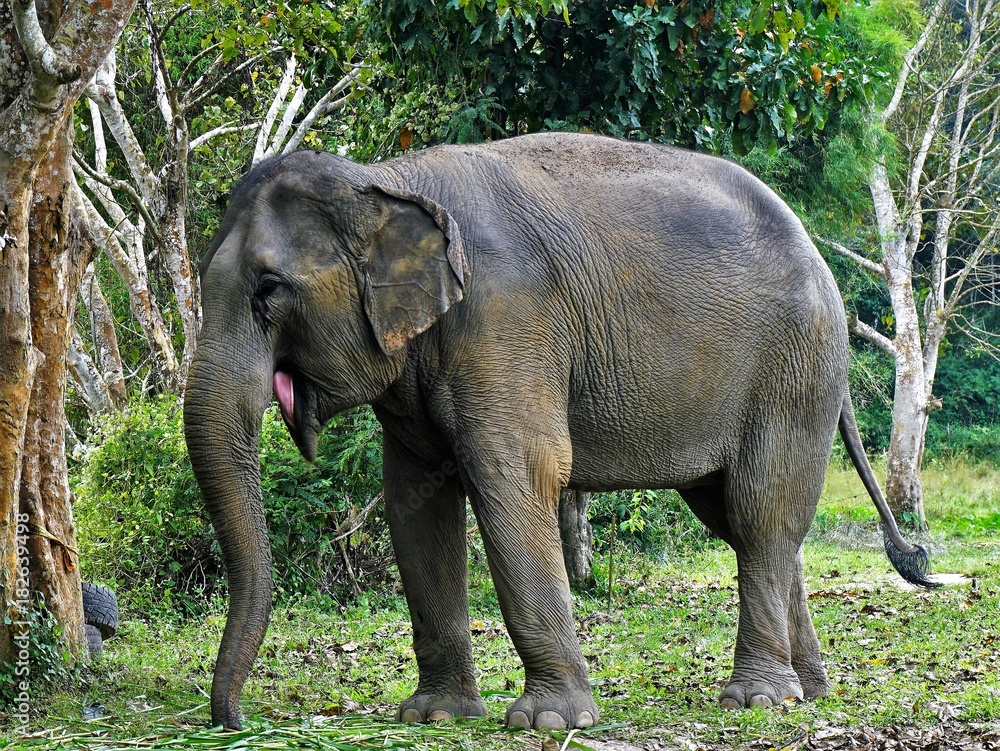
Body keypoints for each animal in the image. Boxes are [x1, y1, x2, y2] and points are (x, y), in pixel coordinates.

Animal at [183, 132, 935, 732]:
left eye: (269, 290)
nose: (234, 721)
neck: (385, 179)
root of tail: (820, 258)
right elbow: (414, 503)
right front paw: (434, 716)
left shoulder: (506, 321)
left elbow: (514, 475)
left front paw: (547, 720)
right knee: (745, 519)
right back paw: (806, 692)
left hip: (793, 367)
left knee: (758, 512)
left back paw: (757, 700)